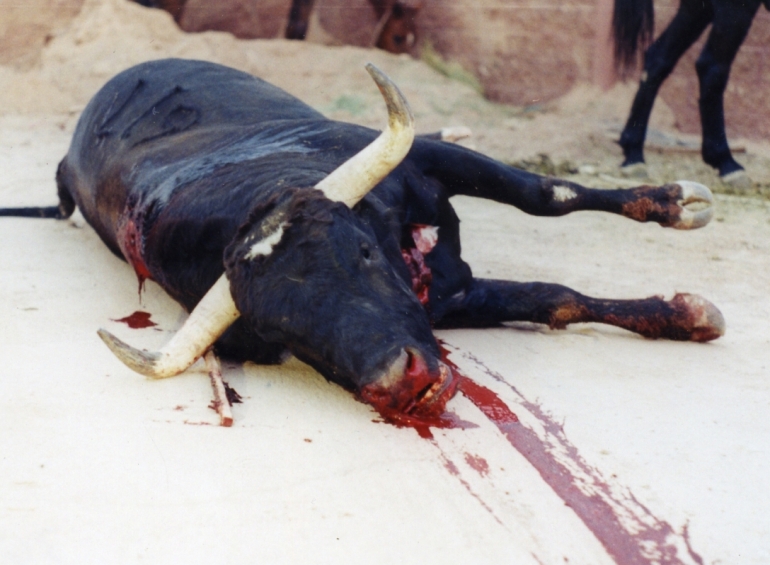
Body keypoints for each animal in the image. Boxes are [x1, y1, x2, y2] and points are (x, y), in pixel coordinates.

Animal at [0, 59, 724, 426]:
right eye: (283, 336)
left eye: (364, 254)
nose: (400, 385)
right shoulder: (454, 296)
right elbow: (553, 297)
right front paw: (682, 313)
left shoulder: (433, 160)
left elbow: (547, 195)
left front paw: (677, 206)